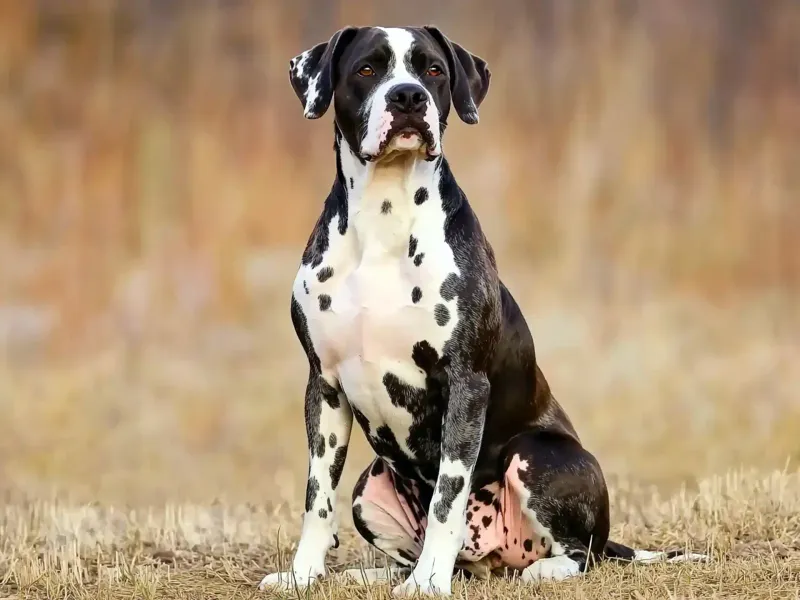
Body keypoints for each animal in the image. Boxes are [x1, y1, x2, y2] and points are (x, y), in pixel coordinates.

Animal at [258, 24, 708, 596]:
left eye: (432, 70)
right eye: (367, 69)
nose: (408, 97)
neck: (384, 215)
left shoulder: (465, 384)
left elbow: (448, 496)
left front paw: (428, 583)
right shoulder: (325, 386)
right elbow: (317, 497)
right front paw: (303, 575)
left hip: (539, 454)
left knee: (582, 552)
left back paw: (533, 569)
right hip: (370, 484)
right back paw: (374, 573)